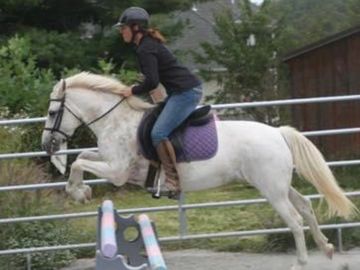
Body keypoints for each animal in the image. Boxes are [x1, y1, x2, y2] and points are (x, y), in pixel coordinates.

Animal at [41, 72, 358, 270]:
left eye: (52, 113)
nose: (47, 145)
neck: (116, 120)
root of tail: (279, 133)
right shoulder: (112, 163)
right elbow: (82, 156)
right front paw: (81, 191)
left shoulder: (117, 171)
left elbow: (79, 162)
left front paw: (78, 192)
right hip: (279, 185)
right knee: (305, 207)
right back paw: (326, 247)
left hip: (271, 189)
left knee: (294, 219)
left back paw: (300, 262)